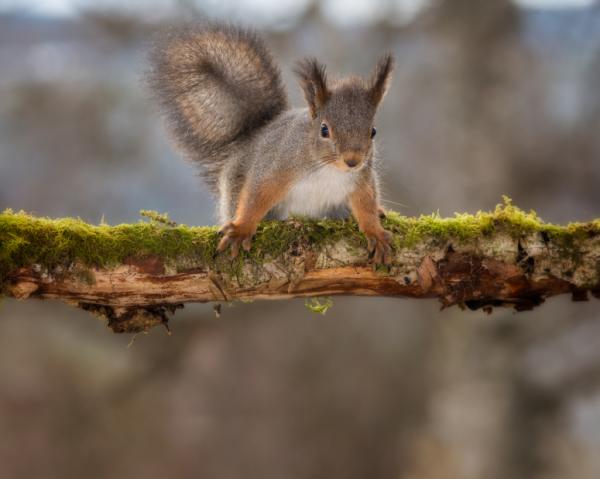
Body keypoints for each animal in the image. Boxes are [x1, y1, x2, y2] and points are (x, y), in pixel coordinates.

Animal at [148, 24, 396, 264]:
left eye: (373, 132)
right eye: (324, 130)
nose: (352, 161)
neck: (328, 168)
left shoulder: (361, 179)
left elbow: (366, 204)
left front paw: (375, 232)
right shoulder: (278, 164)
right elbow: (258, 195)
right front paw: (241, 229)